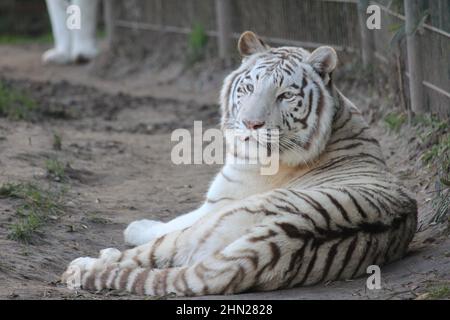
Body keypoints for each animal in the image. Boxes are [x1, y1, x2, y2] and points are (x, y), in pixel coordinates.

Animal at [61, 31, 416, 296]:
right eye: (249, 87)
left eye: (285, 95)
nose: (250, 124)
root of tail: (274, 242)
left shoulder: (217, 203)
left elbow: (171, 222)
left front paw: (136, 226)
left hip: (206, 229)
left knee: (144, 256)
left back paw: (87, 264)